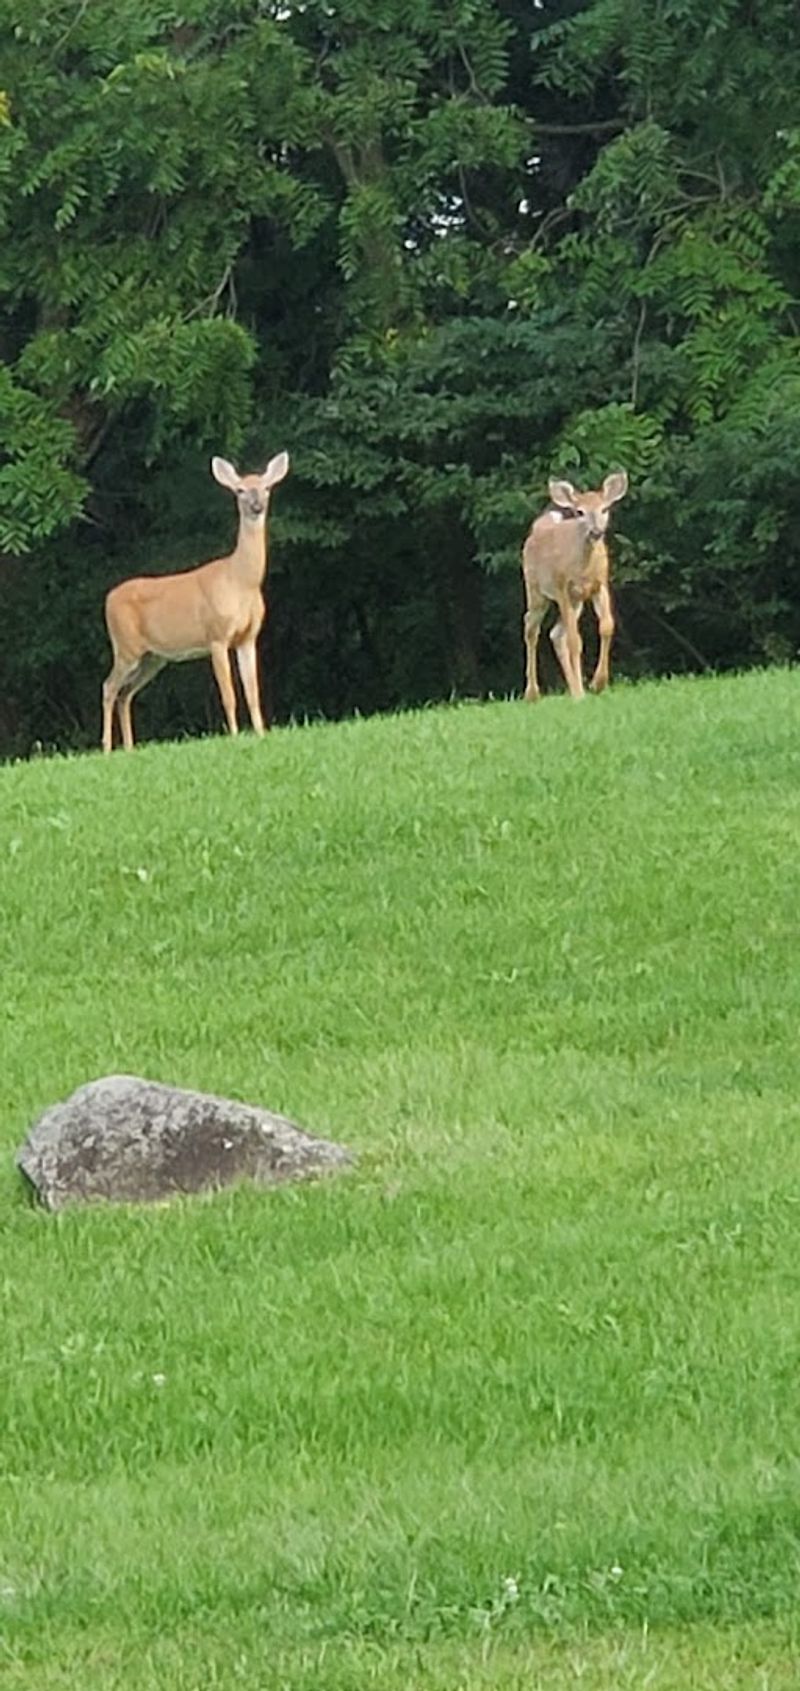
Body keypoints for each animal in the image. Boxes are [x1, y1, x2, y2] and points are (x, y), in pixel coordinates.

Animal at [101, 451, 289, 753]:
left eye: (267, 487)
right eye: (239, 490)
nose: (256, 506)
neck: (240, 581)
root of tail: (108, 598)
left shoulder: (248, 638)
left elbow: (252, 692)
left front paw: (261, 734)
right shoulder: (217, 636)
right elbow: (228, 694)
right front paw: (234, 735)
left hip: (152, 657)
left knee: (125, 693)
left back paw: (129, 748)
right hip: (126, 646)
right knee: (109, 687)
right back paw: (107, 747)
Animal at [521, 470, 628, 702]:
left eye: (604, 508)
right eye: (579, 512)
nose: (596, 532)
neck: (584, 569)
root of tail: (538, 527)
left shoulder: (600, 585)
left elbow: (607, 626)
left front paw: (598, 683)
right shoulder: (562, 588)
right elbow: (575, 642)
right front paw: (583, 691)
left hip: (576, 601)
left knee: (555, 633)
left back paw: (571, 689)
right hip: (536, 590)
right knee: (531, 627)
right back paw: (533, 693)